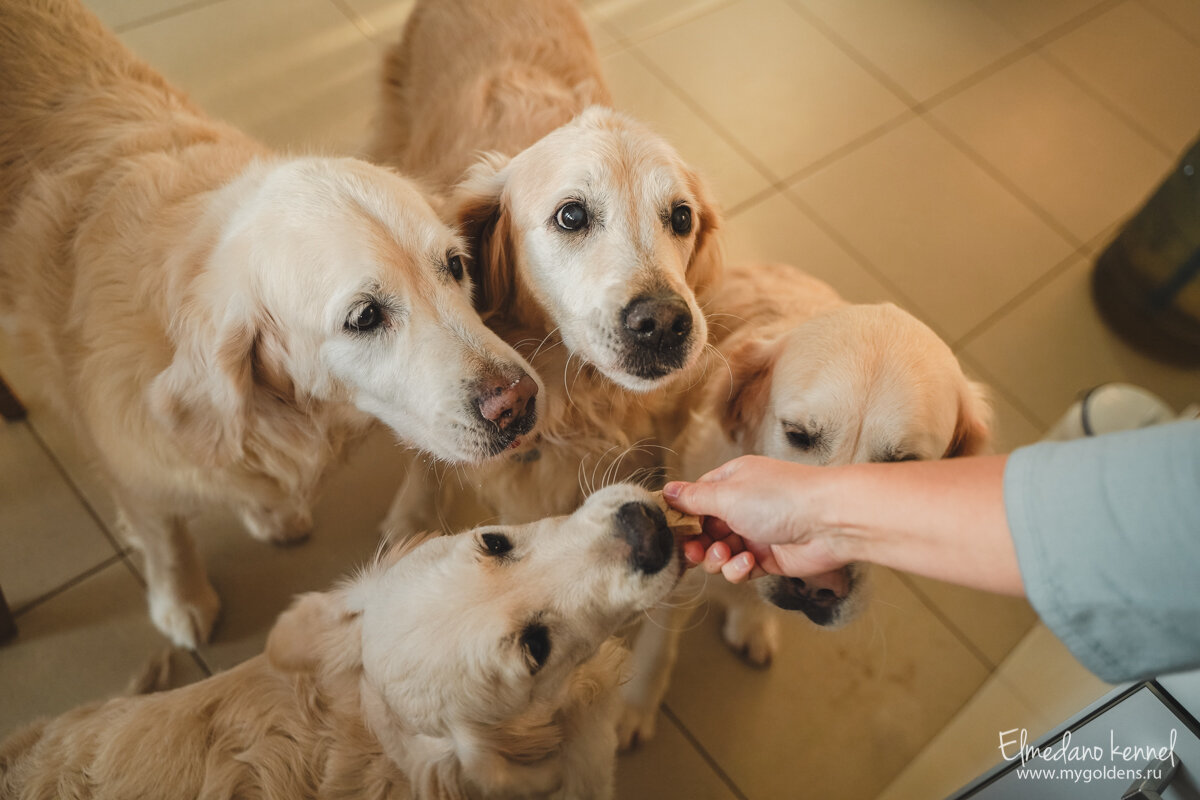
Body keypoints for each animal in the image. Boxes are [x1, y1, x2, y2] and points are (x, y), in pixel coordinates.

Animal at [0, 0, 542, 652]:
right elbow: (165, 537)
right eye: (365, 317)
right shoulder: (133, 463)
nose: (520, 402)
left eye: (455, 265)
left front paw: (271, 514)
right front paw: (182, 602)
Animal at [614, 263, 988, 753]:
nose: (816, 586)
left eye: (904, 468)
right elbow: (658, 649)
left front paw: (753, 623)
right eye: (798, 434)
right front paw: (633, 710)